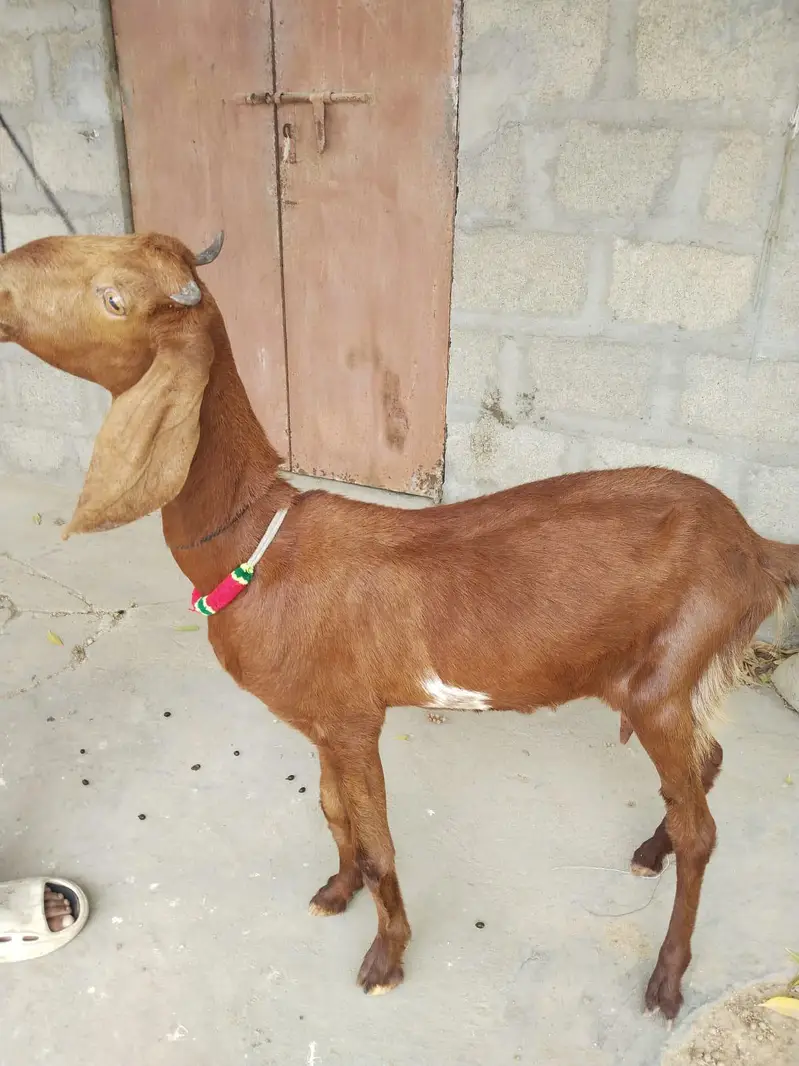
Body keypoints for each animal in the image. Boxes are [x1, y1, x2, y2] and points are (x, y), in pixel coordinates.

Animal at [0, 232, 797, 1019]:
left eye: (112, 298)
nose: (3, 284)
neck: (259, 541)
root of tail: (754, 545)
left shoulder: (356, 722)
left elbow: (381, 843)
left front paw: (385, 957)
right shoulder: (323, 719)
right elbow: (332, 812)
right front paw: (336, 889)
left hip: (664, 677)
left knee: (702, 829)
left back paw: (667, 975)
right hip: (676, 680)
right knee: (704, 766)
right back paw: (652, 850)